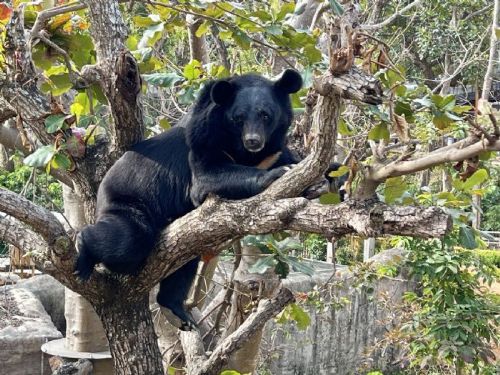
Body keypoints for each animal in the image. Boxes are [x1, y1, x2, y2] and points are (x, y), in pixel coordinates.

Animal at [73, 69, 300, 330]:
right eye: (238, 118)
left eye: (266, 115)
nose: (253, 140)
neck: (246, 153)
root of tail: (101, 191)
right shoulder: (203, 139)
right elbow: (207, 178)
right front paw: (277, 174)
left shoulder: (275, 150)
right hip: (127, 202)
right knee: (127, 241)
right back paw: (83, 248)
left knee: (183, 264)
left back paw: (178, 310)